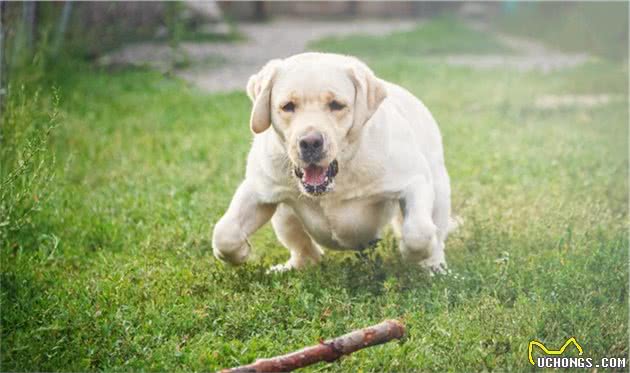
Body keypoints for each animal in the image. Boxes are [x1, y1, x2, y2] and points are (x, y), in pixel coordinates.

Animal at [215, 52, 456, 272]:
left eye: (336, 105)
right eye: (288, 106)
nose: (310, 142)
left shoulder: (414, 180)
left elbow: (419, 233)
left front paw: (410, 252)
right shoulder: (259, 187)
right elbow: (225, 234)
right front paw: (241, 253)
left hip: (440, 192)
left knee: (436, 232)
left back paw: (435, 267)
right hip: (284, 216)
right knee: (305, 251)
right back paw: (291, 267)